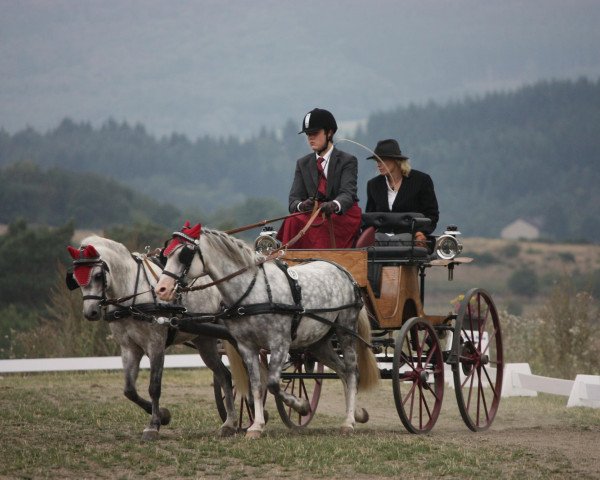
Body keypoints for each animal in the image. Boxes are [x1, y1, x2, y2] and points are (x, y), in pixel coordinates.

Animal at [68, 234, 241, 440]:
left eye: (97, 275)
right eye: (75, 278)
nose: (90, 313)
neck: (132, 295)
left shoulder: (155, 344)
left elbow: (154, 386)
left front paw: (154, 425)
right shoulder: (128, 347)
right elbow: (129, 390)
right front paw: (163, 416)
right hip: (204, 341)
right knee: (225, 375)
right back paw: (230, 424)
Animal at [156, 224, 380, 438]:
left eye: (184, 254)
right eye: (166, 254)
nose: (162, 289)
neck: (252, 291)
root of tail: (344, 271)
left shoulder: (280, 343)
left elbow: (272, 383)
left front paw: (301, 405)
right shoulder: (246, 346)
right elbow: (256, 384)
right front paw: (256, 426)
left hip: (346, 330)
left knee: (352, 371)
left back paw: (349, 422)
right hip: (318, 342)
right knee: (342, 371)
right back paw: (356, 413)